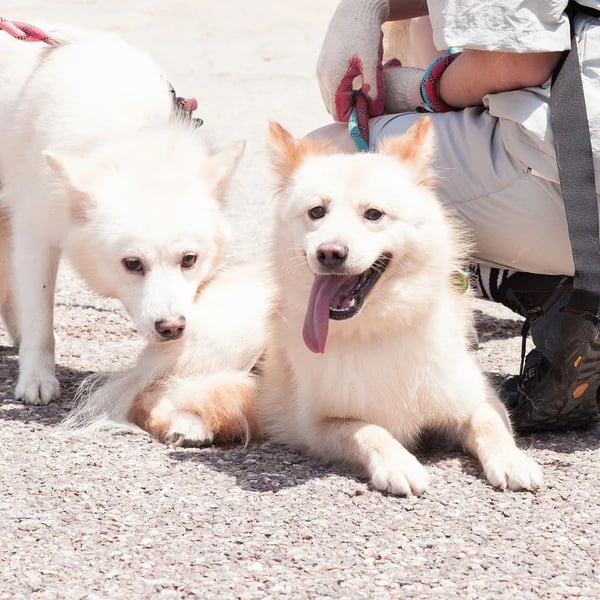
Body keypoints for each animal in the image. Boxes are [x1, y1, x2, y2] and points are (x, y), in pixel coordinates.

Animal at [0, 25, 243, 405]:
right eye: (132, 264)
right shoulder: (35, 233)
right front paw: (36, 378)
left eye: (189, 259)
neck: (131, 137)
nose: (172, 328)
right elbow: (40, 317)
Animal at [257, 119, 543, 495]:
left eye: (373, 214)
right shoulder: (316, 424)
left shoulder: (475, 397)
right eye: (316, 212)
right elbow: (367, 431)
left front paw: (512, 461)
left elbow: (490, 422)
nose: (330, 253)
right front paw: (399, 464)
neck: (380, 327)